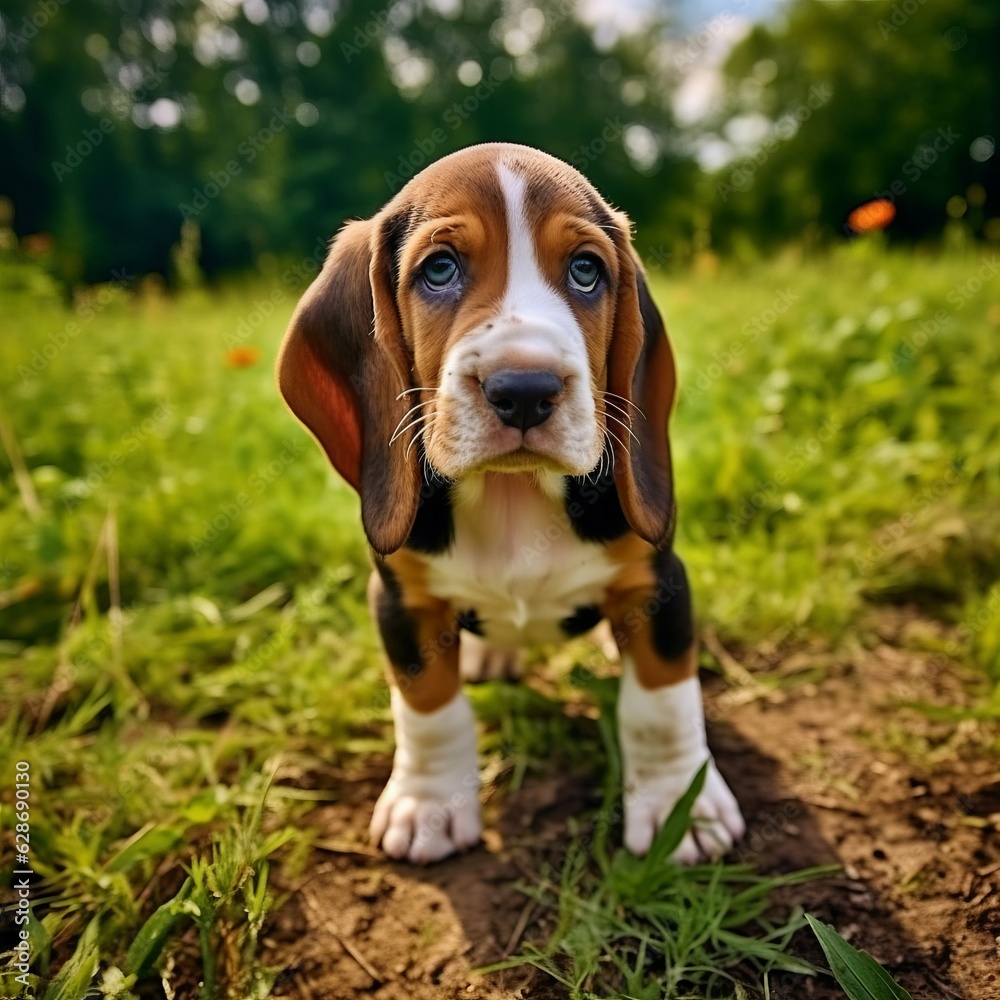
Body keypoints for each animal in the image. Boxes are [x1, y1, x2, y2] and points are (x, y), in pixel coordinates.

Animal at [278, 143, 748, 868]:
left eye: (586, 271)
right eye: (439, 269)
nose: (524, 389)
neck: (512, 492)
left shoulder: (658, 582)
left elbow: (662, 701)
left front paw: (680, 807)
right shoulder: (401, 599)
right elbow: (428, 705)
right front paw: (428, 804)